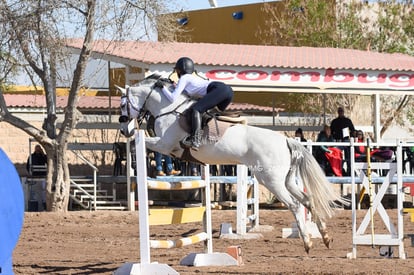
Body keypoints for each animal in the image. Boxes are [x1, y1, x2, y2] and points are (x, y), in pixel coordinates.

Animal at [118, 75, 348, 254]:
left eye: (122, 105)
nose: (123, 130)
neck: (168, 108)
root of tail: (286, 140)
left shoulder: (165, 145)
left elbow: (143, 142)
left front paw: (134, 152)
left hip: (271, 181)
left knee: (295, 205)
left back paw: (308, 242)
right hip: (287, 180)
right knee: (307, 200)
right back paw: (325, 237)